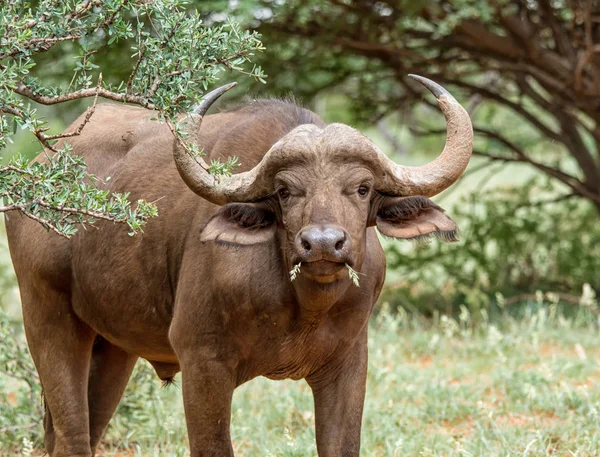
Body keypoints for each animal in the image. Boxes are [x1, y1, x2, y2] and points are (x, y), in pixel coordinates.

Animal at [5, 76, 474, 454]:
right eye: (285, 191)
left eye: (362, 188)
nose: (323, 244)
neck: (302, 307)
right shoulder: (203, 364)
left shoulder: (348, 364)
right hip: (48, 319)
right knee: (71, 438)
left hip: (114, 347)